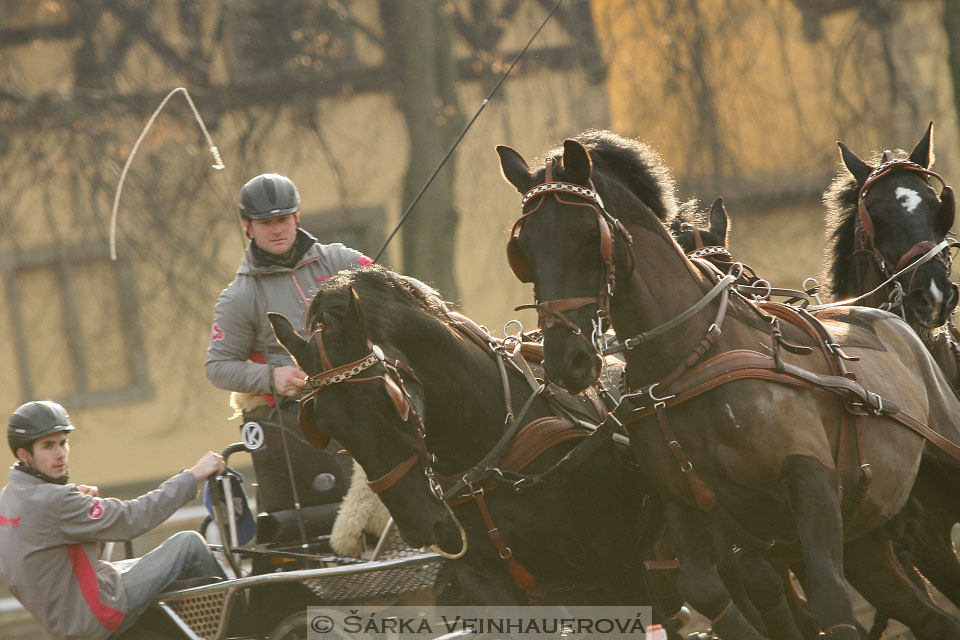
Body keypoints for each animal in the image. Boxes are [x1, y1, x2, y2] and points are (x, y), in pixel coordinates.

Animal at [498, 131, 960, 640]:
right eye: (522, 250)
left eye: (587, 235)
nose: (568, 359)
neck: (690, 360)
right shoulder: (689, 506)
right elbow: (707, 590)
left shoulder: (809, 479)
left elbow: (829, 599)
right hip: (870, 542)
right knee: (931, 617)